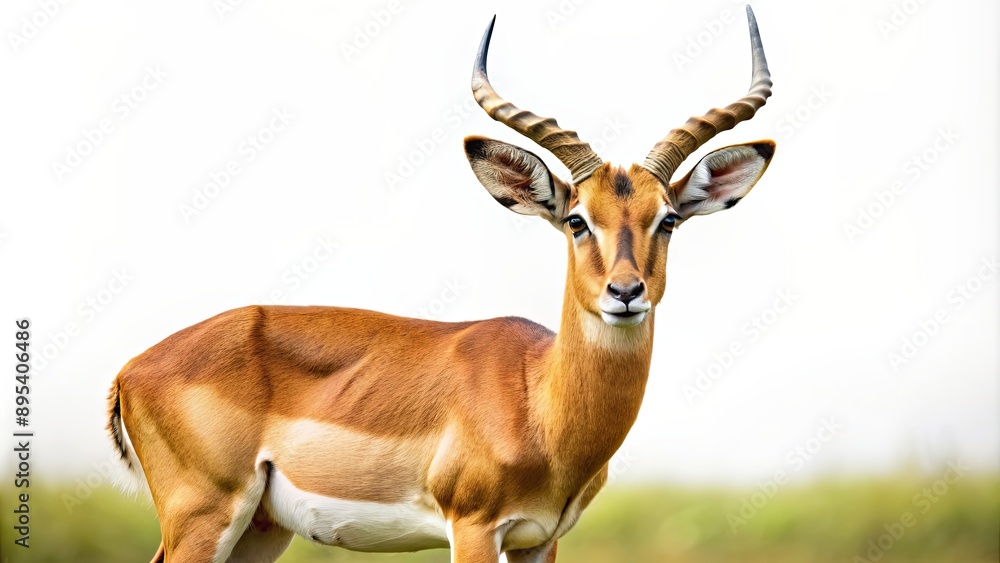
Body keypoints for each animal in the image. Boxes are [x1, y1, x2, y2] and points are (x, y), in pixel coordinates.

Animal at [107, 6, 774, 562]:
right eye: (577, 220)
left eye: (668, 219)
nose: (626, 293)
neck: (540, 400)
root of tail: (131, 369)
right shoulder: (474, 527)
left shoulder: (541, 540)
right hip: (205, 514)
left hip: (261, 529)